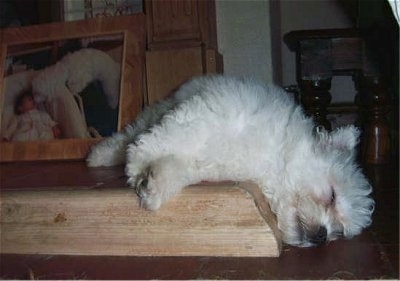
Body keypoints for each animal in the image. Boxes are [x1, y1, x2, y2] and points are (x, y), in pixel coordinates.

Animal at [87, 75, 376, 246]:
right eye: (332, 196)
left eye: (340, 231)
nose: (322, 236)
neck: (270, 160)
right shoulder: (212, 114)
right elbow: (173, 137)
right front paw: (140, 159)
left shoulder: (208, 163)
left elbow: (180, 167)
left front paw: (154, 185)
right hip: (161, 109)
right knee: (130, 133)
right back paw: (101, 155)